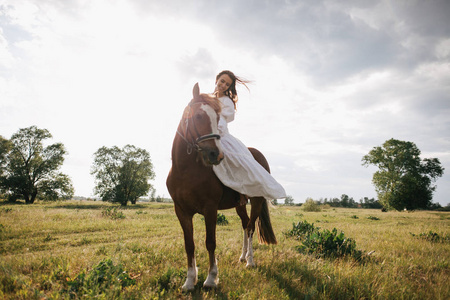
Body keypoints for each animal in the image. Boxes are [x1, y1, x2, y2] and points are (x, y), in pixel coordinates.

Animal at [166, 82, 276, 290]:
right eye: (198, 116)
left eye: (217, 118)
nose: (215, 154)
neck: (186, 170)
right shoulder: (181, 211)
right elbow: (189, 244)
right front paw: (190, 281)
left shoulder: (210, 209)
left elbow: (210, 242)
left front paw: (211, 279)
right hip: (240, 204)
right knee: (245, 224)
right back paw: (242, 257)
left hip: (256, 201)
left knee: (251, 227)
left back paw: (250, 261)